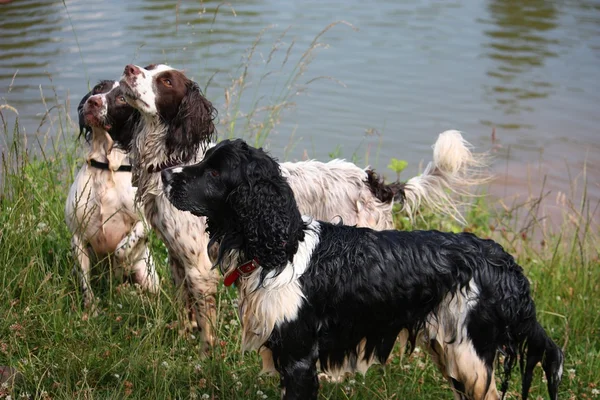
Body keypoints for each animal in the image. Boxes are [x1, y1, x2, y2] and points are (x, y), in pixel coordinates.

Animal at [65, 80, 159, 312]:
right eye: (99, 88)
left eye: (122, 98)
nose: (93, 101)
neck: (107, 167)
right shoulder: (77, 237)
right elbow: (85, 281)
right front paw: (91, 309)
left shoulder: (145, 222)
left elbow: (122, 249)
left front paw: (118, 266)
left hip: (148, 276)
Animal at [122, 65, 492, 354]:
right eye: (149, 67)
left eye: (165, 80)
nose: (129, 69)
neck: (174, 162)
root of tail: (375, 184)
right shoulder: (178, 259)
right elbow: (186, 310)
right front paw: (182, 339)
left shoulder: (200, 267)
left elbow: (206, 327)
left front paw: (205, 356)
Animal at [159, 140, 564, 400]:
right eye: (204, 160)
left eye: (214, 171)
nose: (165, 175)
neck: (283, 249)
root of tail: (502, 260)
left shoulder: (299, 359)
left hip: (470, 357)